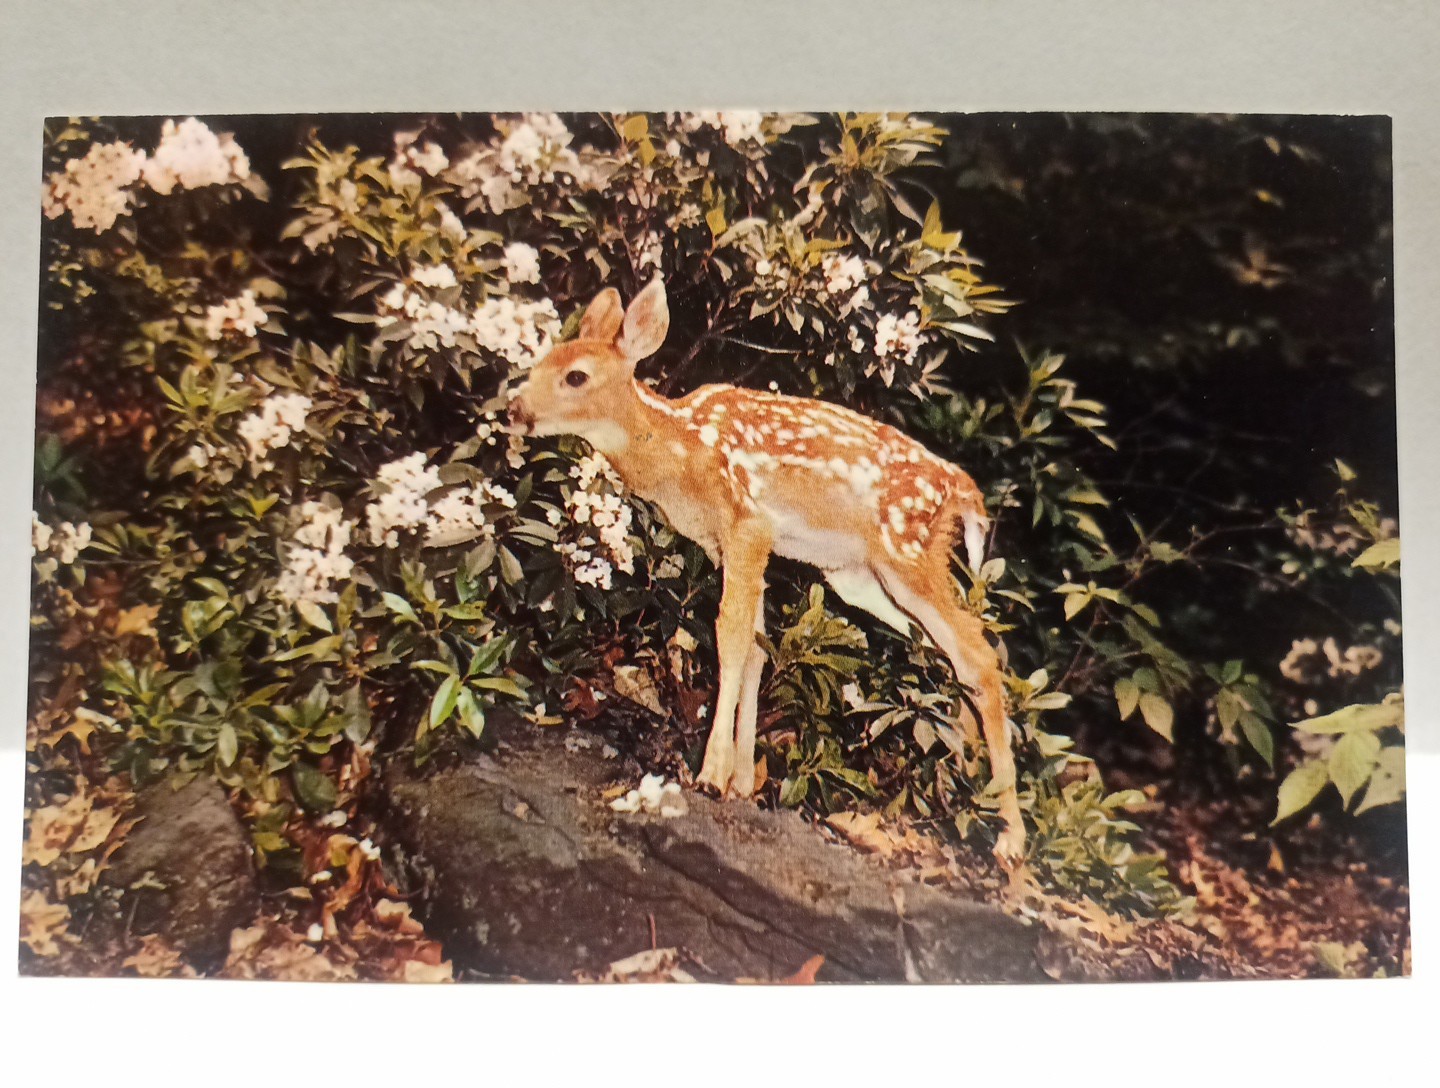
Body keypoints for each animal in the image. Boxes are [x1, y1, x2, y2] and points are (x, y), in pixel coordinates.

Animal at [507, 279, 1025, 868]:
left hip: (906, 551)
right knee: (948, 653)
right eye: (541, 361)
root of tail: (963, 489)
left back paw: (1010, 837)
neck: (681, 449)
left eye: (576, 375)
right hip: (858, 576)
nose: (514, 408)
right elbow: (756, 645)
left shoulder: (748, 521)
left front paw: (710, 774)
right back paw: (971, 787)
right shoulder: (726, 543)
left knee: (980, 654)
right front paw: (740, 781)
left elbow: (731, 636)